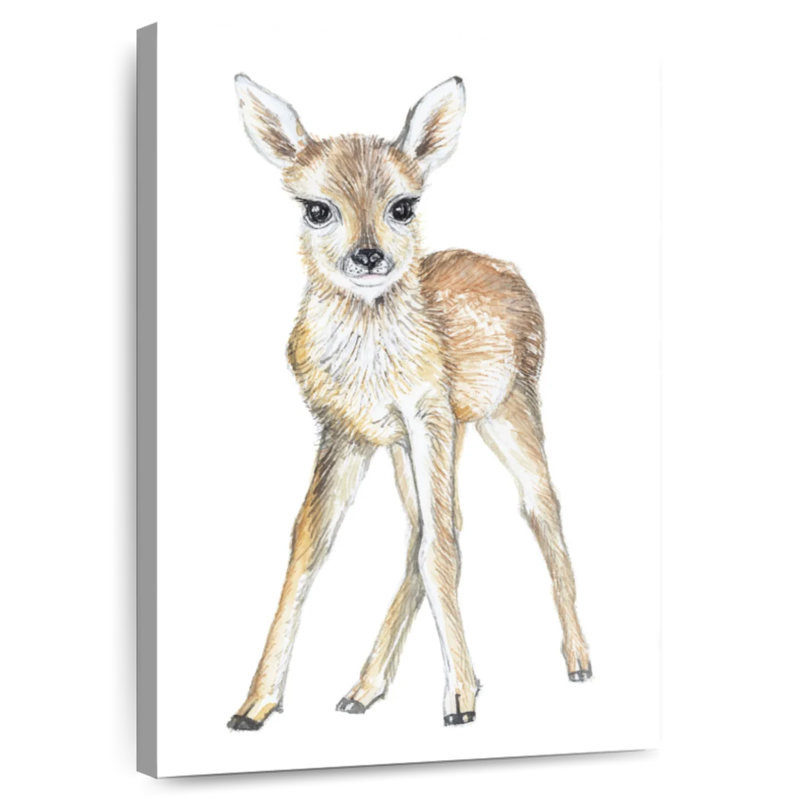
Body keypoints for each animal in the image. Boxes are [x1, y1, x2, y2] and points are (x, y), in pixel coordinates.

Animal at [228, 74, 591, 730]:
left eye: (404, 205)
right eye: (316, 208)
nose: (369, 256)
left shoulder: (427, 412)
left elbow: (438, 549)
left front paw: (460, 702)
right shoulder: (343, 430)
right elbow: (306, 549)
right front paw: (254, 704)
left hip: (508, 407)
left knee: (537, 508)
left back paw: (576, 661)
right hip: (424, 438)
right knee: (433, 526)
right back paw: (365, 688)